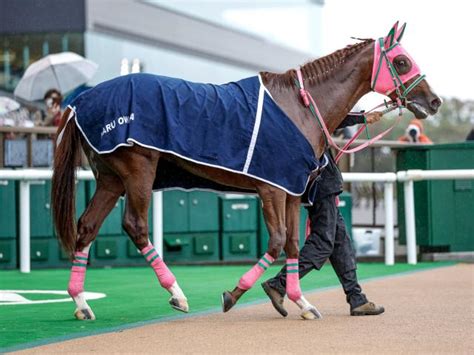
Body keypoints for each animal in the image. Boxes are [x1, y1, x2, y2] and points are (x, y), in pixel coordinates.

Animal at [51, 23, 440, 322]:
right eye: (402, 61)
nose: (433, 101)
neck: (299, 106)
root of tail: (80, 102)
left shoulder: (292, 190)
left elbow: (294, 243)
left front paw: (300, 301)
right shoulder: (271, 188)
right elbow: (277, 241)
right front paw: (235, 293)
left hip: (111, 179)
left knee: (87, 227)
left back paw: (81, 302)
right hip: (138, 170)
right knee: (135, 225)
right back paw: (177, 293)